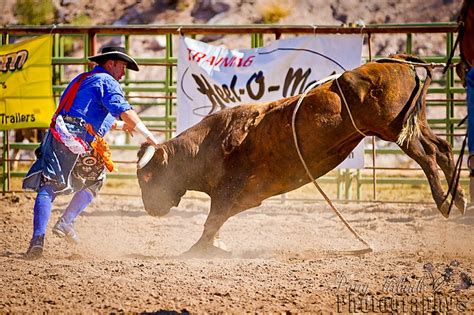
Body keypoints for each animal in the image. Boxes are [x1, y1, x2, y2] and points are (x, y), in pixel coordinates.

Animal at [136, 54, 466, 256]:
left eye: (147, 177)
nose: (150, 209)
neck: (211, 143)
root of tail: (396, 61)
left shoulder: (229, 191)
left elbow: (212, 220)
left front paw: (196, 251)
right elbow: (216, 223)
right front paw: (215, 247)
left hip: (393, 128)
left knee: (427, 156)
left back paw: (444, 201)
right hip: (414, 122)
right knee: (442, 148)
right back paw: (459, 198)